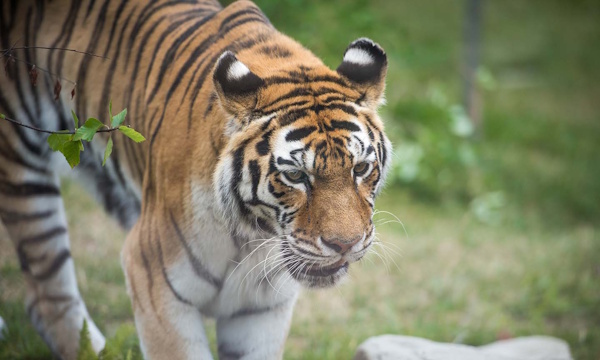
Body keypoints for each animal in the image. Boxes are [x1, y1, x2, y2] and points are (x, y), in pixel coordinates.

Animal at [0, 0, 392, 358]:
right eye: (295, 175)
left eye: (360, 169)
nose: (345, 245)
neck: (251, 238)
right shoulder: (153, 279)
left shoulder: (261, 308)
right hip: (22, 167)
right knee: (48, 298)